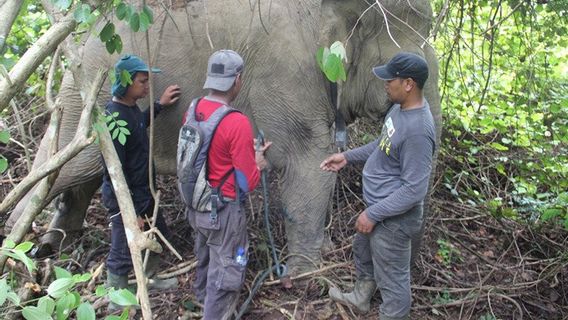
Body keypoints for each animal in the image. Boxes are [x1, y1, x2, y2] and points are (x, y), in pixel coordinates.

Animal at [5, 0, 440, 274]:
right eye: (406, 65)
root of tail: (86, 34)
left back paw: (53, 243)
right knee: (71, 164)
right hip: (91, 94)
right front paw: (305, 274)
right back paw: (16, 241)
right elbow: (306, 155)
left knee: (88, 172)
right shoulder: (286, 68)